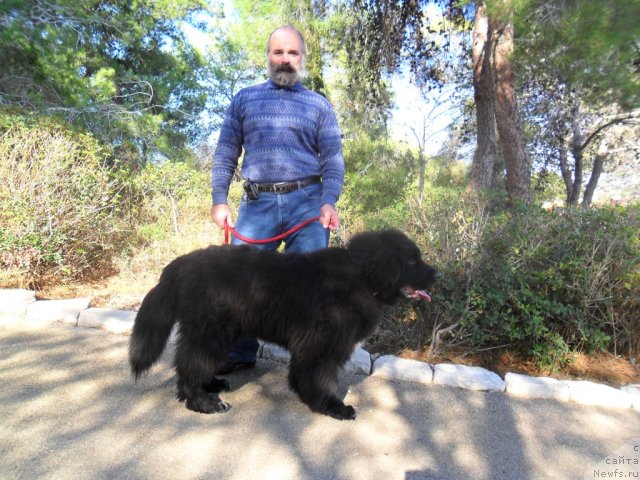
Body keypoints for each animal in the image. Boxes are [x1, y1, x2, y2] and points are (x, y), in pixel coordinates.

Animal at [130, 230, 440, 420]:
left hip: (215, 331)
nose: (437, 274)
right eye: (412, 260)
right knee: (191, 364)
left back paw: (212, 385)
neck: (363, 276)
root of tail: (180, 264)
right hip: (209, 330)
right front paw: (331, 406)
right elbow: (321, 377)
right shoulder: (322, 344)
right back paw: (204, 402)